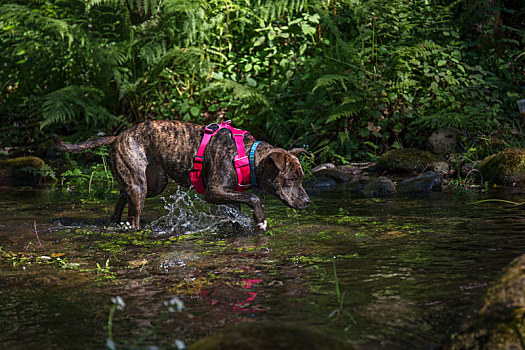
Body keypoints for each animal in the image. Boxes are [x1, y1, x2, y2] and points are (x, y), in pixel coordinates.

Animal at [51, 121, 310, 232]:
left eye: (301, 178)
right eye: (290, 179)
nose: (307, 201)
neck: (248, 155)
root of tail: (118, 136)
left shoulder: (230, 195)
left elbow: (239, 208)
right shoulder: (214, 191)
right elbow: (254, 198)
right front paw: (260, 220)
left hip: (153, 182)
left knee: (122, 196)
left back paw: (114, 222)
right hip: (140, 186)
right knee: (133, 215)